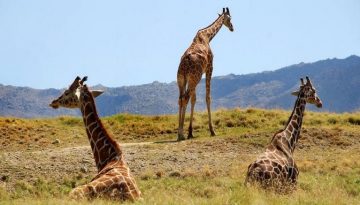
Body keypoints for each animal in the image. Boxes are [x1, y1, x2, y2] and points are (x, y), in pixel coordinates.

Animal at [176, 6, 233, 141]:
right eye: (229, 18)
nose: (232, 27)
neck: (207, 37)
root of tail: (184, 64)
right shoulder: (210, 67)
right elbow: (208, 97)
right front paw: (212, 131)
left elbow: (194, 99)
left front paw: (191, 132)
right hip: (194, 78)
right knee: (185, 98)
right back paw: (181, 134)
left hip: (182, 79)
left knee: (181, 98)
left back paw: (179, 133)